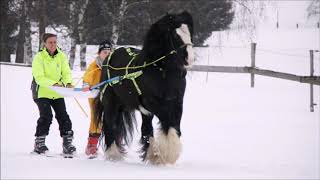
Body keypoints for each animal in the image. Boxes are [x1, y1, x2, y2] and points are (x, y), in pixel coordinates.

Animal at [94, 10, 195, 165]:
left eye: (189, 31)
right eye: (175, 35)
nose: (190, 58)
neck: (161, 70)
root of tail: (110, 56)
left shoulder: (177, 102)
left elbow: (175, 125)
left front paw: (164, 155)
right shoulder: (152, 102)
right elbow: (168, 121)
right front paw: (167, 153)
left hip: (142, 111)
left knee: (146, 129)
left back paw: (151, 155)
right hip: (111, 102)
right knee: (111, 125)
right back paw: (114, 155)